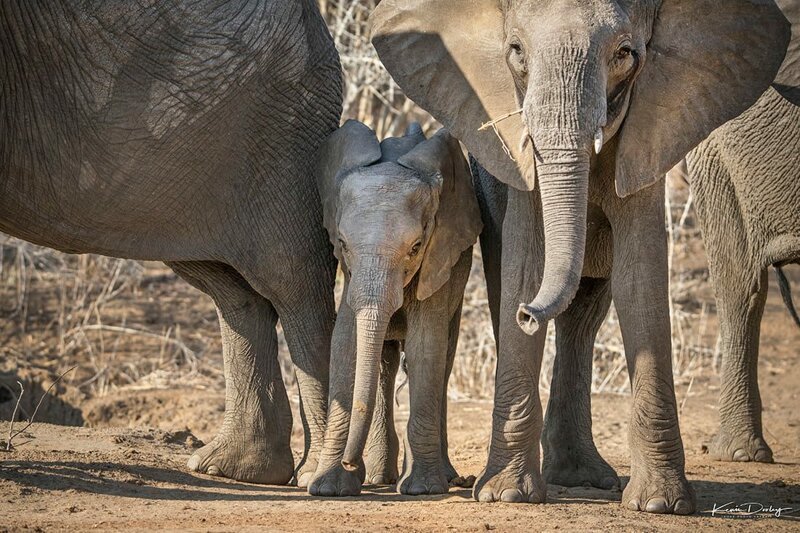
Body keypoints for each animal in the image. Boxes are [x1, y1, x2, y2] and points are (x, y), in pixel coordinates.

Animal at [310, 120, 478, 494]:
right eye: (342, 243)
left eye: (415, 247)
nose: (349, 461)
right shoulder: (351, 276)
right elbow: (345, 344)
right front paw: (330, 487)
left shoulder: (438, 260)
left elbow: (425, 348)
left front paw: (423, 489)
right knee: (385, 364)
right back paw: (378, 477)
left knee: (441, 360)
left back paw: (439, 477)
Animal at [372, 0, 792, 512]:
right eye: (516, 51)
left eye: (625, 53)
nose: (527, 315)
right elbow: (523, 266)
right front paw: (507, 496)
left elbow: (640, 279)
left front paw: (660, 504)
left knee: (585, 314)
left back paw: (582, 476)